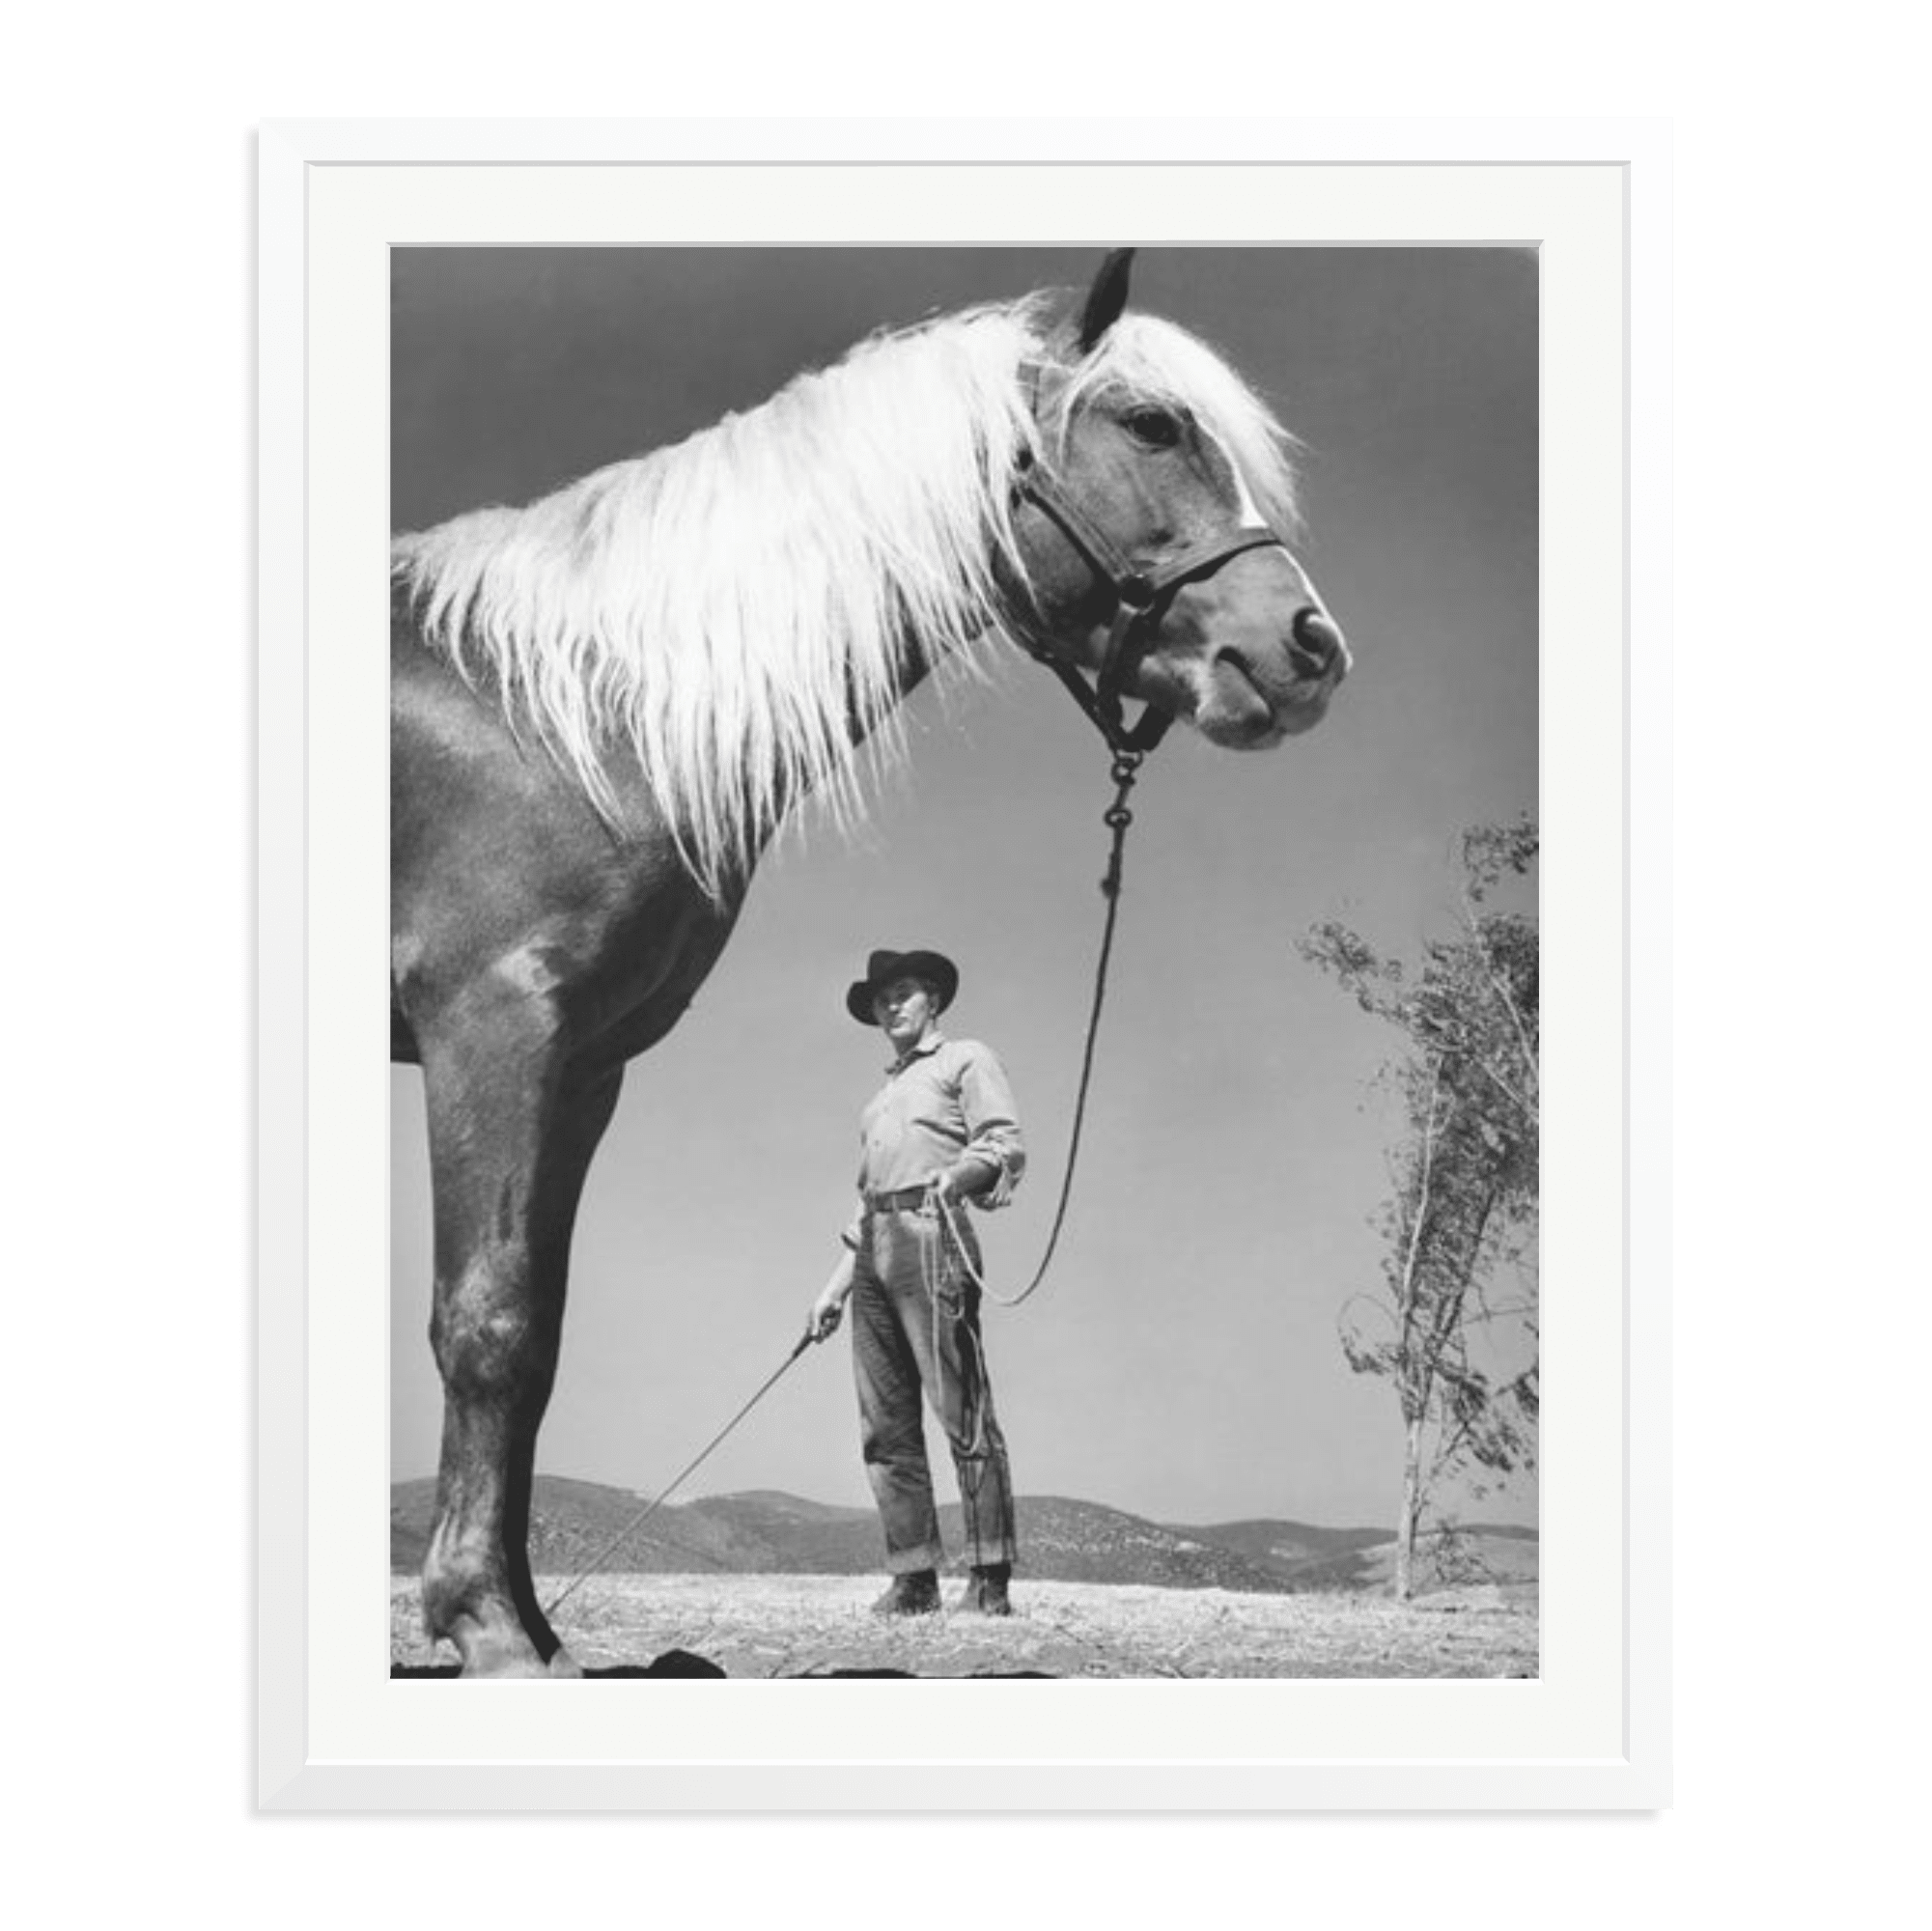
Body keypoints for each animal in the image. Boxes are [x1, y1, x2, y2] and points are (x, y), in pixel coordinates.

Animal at [391, 250, 1350, 1677]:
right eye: (1150, 424)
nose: (1308, 650)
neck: (559, 709)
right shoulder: (489, 1028)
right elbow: (490, 1322)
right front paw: (488, 1627)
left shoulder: (584, 1067)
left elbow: (542, 1332)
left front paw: (524, 1620)